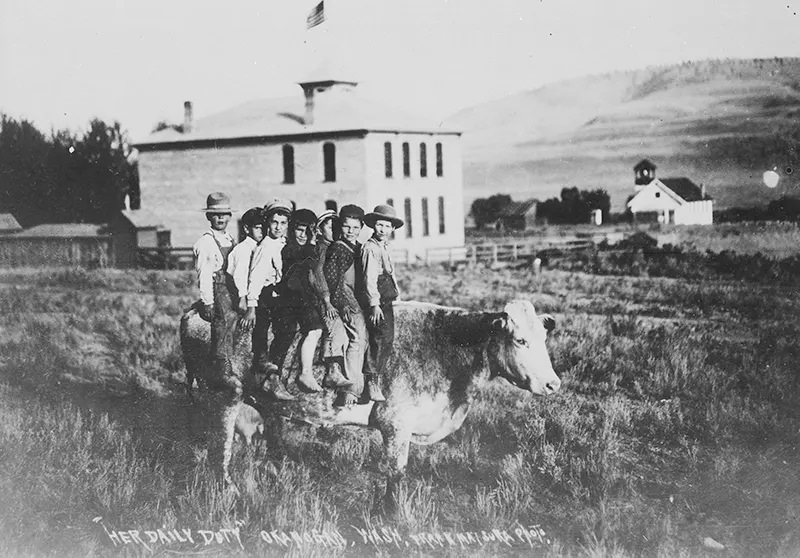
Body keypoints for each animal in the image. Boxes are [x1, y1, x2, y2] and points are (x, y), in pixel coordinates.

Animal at [180, 302, 564, 504]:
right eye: (520, 340)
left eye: (544, 339)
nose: (553, 383)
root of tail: (198, 309)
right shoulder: (396, 425)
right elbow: (396, 473)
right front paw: (392, 513)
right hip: (223, 397)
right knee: (220, 447)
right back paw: (228, 489)